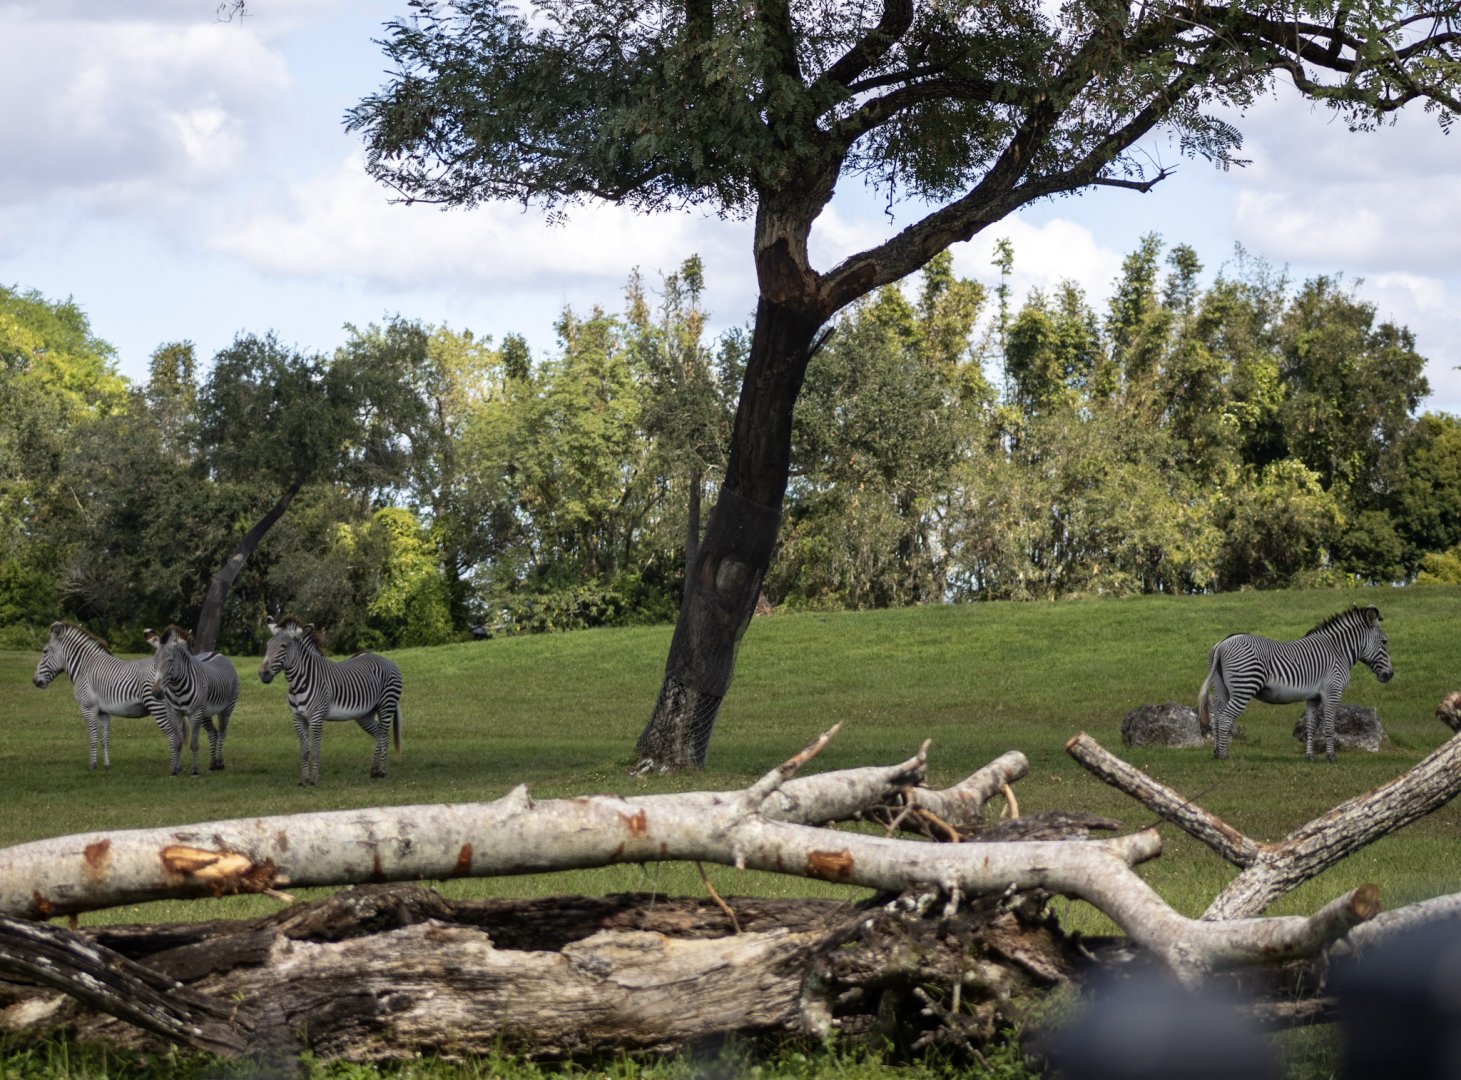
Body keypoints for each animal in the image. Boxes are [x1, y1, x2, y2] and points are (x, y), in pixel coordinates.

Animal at [32, 621, 180, 772]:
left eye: (45, 651)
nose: (35, 681)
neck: (84, 667)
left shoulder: (88, 707)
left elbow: (92, 738)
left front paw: (92, 765)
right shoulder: (104, 712)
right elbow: (105, 739)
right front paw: (106, 765)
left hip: (157, 706)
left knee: (173, 736)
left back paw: (172, 769)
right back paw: (178, 767)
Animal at [145, 625, 240, 777]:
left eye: (170, 660)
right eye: (155, 661)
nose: (156, 692)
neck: (177, 688)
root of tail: (216, 653)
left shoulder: (195, 713)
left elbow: (194, 744)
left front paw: (195, 771)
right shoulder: (174, 713)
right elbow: (177, 742)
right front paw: (174, 770)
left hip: (227, 708)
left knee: (221, 732)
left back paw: (220, 763)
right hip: (206, 713)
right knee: (213, 733)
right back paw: (212, 765)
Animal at [258, 615, 403, 785]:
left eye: (283, 646)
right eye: (268, 645)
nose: (263, 674)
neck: (297, 684)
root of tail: (385, 659)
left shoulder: (316, 718)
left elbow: (315, 750)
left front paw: (314, 780)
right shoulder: (297, 718)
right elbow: (304, 751)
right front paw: (303, 780)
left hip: (386, 704)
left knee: (385, 736)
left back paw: (382, 772)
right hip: (365, 714)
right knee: (379, 734)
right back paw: (374, 771)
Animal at [1198, 605, 1394, 763]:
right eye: (1384, 641)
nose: (1390, 675)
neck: (1338, 651)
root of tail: (1222, 644)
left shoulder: (1313, 697)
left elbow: (1310, 726)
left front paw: (1310, 757)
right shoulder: (1333, 691)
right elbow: (1329, 726)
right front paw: (1331, 757)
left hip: (1222, 690)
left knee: (1216, 717)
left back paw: (1215, 753)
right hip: (1244, 688)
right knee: (1225, 718)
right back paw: (1223, 755)